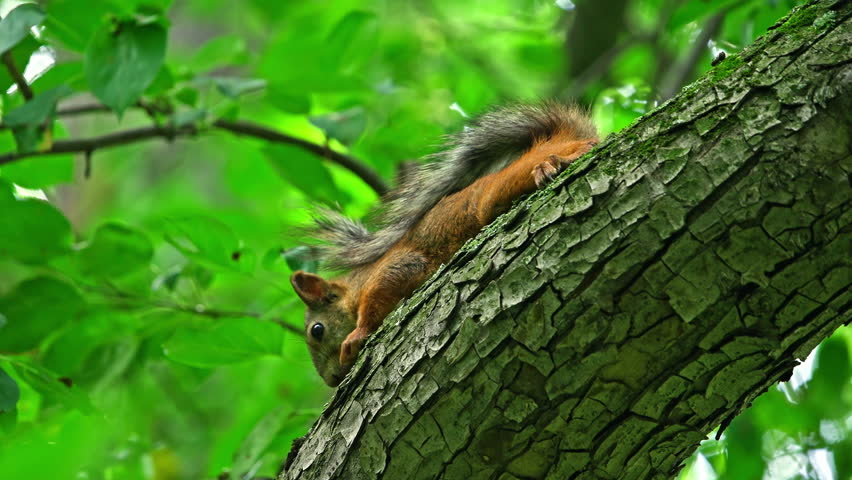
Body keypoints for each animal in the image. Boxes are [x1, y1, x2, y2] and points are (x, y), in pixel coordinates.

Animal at [290, 103, 598, 387]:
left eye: (317, 330)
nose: (331, 380)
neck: (357, 285)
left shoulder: (398, 266)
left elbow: (384, 293)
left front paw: (356, 335)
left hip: (496, 190)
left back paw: (558, 161)